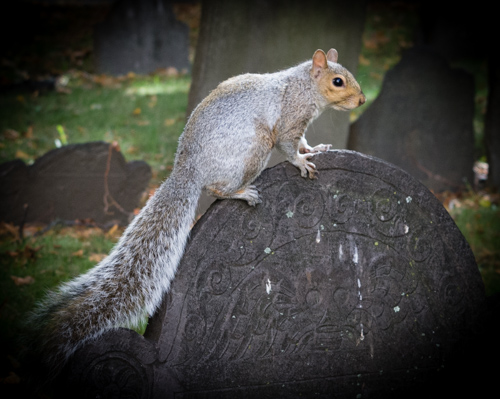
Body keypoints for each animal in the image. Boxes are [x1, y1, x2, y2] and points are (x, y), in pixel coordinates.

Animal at [25, 49, 366, 378]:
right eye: (337, 81)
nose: (362, 100)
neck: (303, 85)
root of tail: (189, 170)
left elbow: (304, 143)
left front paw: (313, 149)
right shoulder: (290, 116)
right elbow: (289, 145)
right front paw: (301, 161)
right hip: (255, 147)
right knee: (217, 188)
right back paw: (240, 192)